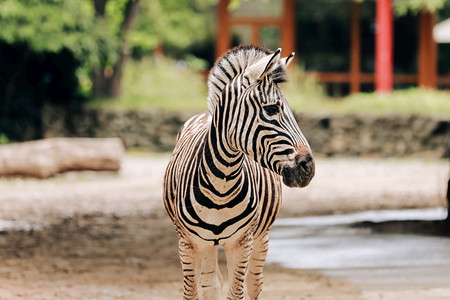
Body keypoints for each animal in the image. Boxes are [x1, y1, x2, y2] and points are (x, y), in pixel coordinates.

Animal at [163, 45, 314, 300]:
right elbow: (193, 293)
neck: (220, 185)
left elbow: (236, 293)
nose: (309, 168)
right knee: (211, 283)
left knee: (254, 283)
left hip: (261, 236)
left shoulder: (243, 242)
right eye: (271, 109)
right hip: (207, 245)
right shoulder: (188, 243)